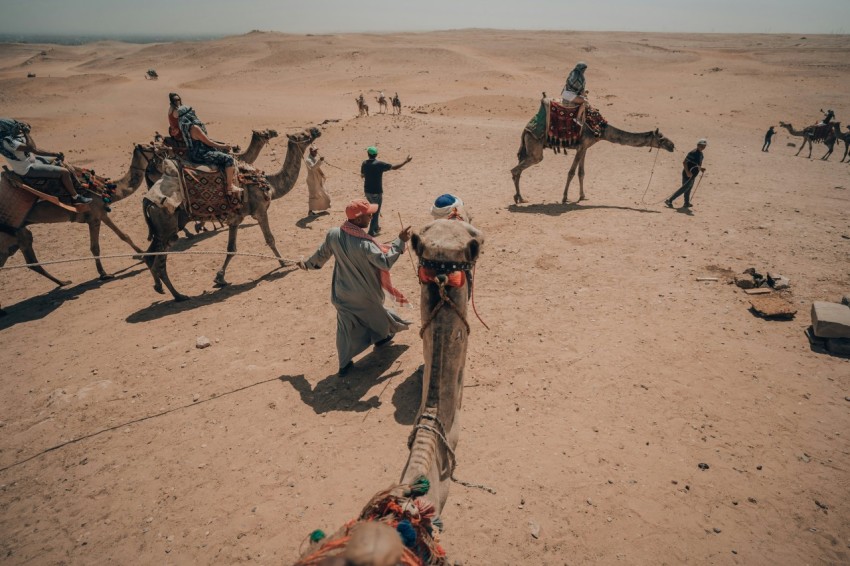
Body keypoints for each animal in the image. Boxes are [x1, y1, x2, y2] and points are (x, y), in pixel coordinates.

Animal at [141, 127, 320, 304]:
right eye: (302, 134)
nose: (316, 130)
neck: (268, 184)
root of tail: (147, 200)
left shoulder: (236, 219)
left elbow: (231, 249)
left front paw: (220, 278)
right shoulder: (260, 211)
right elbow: (270, 239)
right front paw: (283, 262)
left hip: (162, 232)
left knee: (149, 257)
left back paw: (160, 287)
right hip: (167, 228)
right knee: (159, 264)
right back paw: (179, 295)